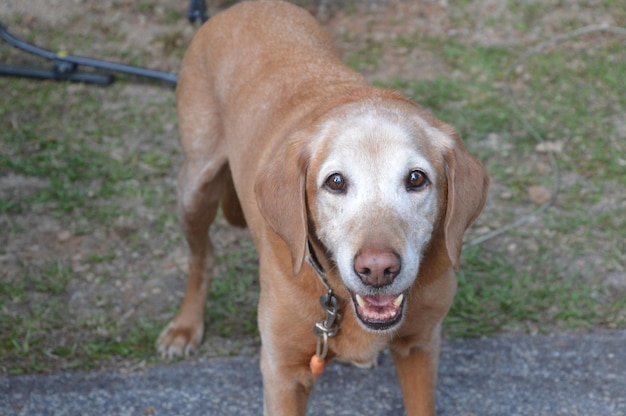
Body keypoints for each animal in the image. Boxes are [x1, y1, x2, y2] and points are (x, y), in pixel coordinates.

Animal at [157, 1, 488, 414]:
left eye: (416, 179)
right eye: (336, 182)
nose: (377, 269)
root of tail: (242, 8)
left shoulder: (421, 348)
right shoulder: (282, 373)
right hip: (195, 187)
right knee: (202, 256)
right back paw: (185, 326)